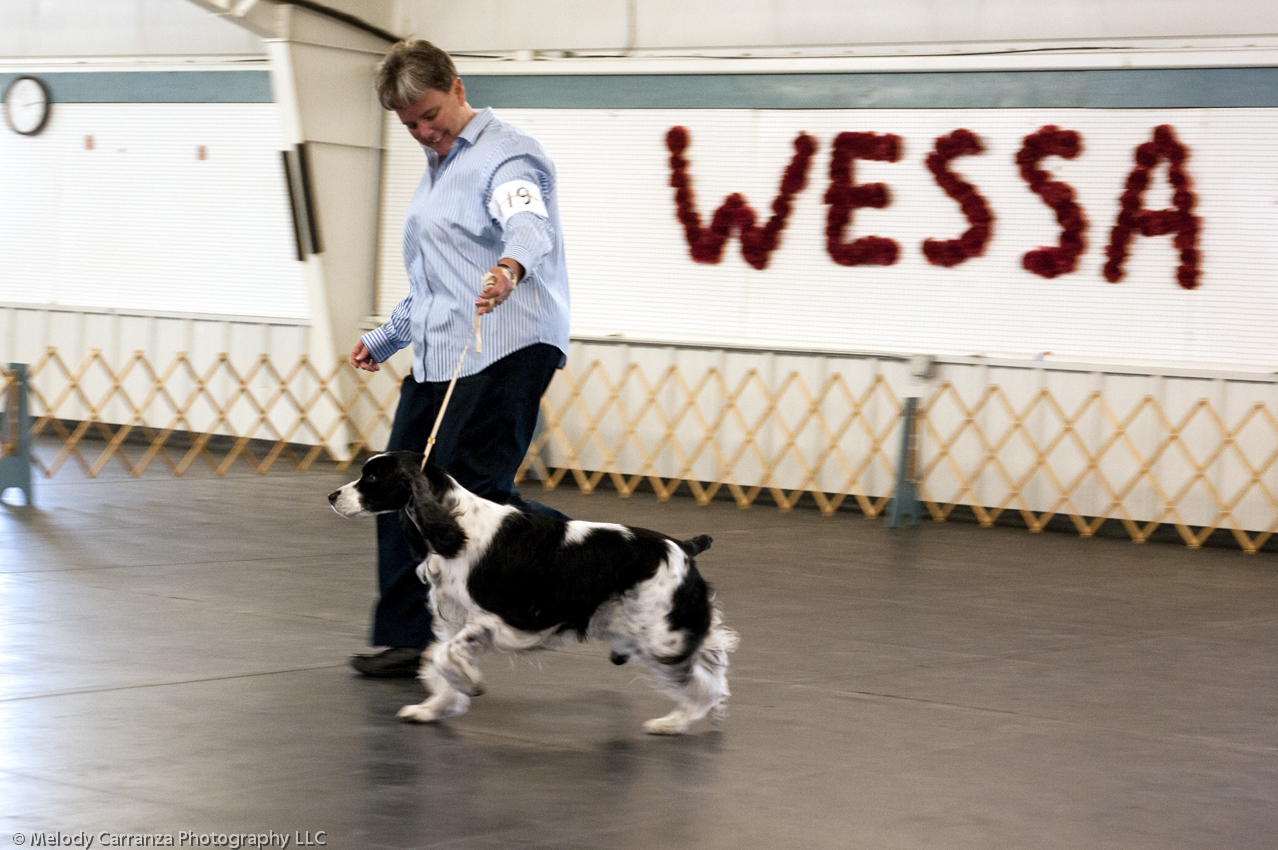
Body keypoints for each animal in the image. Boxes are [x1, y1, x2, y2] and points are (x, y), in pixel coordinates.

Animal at [327, 449, 741, 736]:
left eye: (372, 477)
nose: (332, 495)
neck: (455, 529)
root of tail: (683, 546)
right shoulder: (452, 620)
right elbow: (436, 658)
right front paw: (431, 709)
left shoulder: (492, 620)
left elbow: (446, 657)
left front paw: (470, 685)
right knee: (712, 659)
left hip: (659, 634)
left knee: (703, 683)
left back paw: (671, 723)